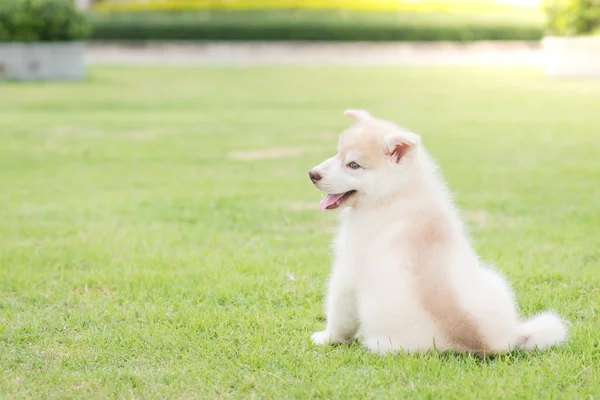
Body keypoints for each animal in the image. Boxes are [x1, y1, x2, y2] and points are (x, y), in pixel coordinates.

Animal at [310, 110, 568, 356]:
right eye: (337, 153)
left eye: (353, 165)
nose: (312, 174)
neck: (396, 194)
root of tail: (489, 343)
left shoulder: (346, 272)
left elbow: (339, 315)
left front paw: (326, 338)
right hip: (496, 281)